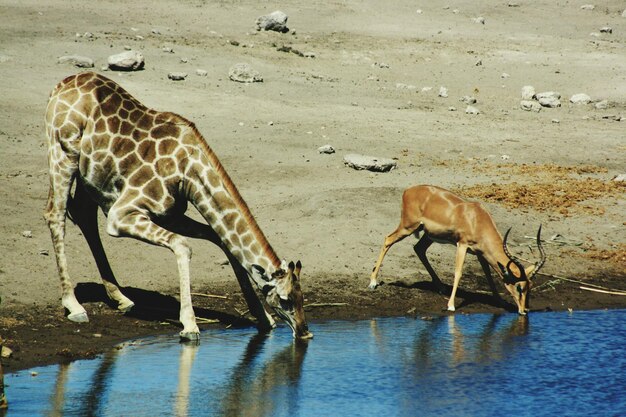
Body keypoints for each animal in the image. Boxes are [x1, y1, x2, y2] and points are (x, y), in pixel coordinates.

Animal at [42, 70, 310, 338]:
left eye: (302, 298)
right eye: (285, 299)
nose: (304, 332)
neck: (189, 172)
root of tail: (61, 85)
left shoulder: (169, 214)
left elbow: (219, 238)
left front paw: (263, 318)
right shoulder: (122, 214)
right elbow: (183, 246)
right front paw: (189, 325)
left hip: (90, 175)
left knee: (83, 214)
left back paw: (121, 298)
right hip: (63, 152)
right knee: (55, 214)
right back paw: (74, 305)